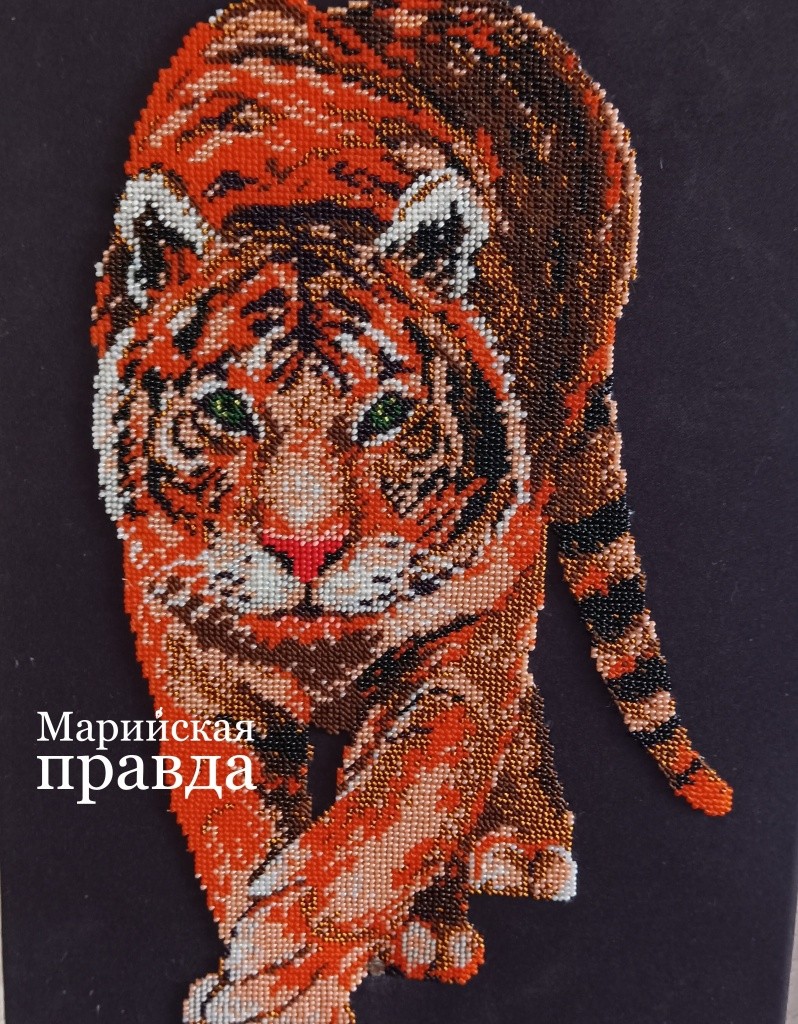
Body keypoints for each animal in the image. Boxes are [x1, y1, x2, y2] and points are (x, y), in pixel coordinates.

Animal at [90, 0, 733, 1020]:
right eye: (227, 410)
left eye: (387, 416)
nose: (305, 552)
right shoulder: (192, 653)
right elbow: (242, 831)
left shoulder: (469, 626)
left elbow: (396, 814)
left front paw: (279, 974)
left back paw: (507, 863)